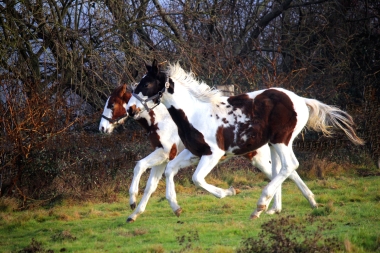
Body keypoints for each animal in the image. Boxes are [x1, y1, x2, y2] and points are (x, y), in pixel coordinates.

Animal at [98, 83, 318, 221]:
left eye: (111, 103)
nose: (101, 128)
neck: (164, 118)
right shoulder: (163, 159)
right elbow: (151, 185)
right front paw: (135, 214)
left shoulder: (164, 154)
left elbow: (140, 166)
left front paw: (132, 201)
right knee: (284, 172)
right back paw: (292, 205)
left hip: (261, 156)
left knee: (287, 170)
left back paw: (280, 206)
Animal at [126, 59, 364, 219]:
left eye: (146, 84)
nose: (130, 109)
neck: (194, 113)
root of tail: (300, 100)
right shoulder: (192, 153)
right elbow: (169, 170)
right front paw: (174, 207)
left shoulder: (214, 154)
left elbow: (197, 179)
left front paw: (229, 192)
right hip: (272, 145)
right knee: (282, 170)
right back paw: (298, 204)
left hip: (281, 141)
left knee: (290, 166)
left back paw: (260, 207)